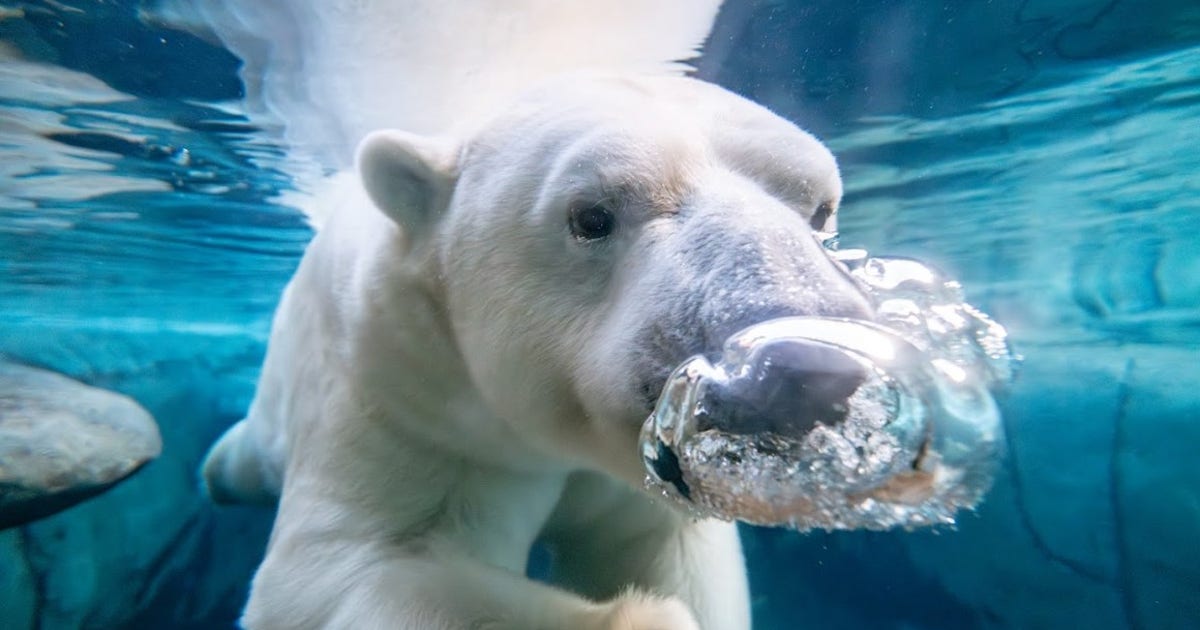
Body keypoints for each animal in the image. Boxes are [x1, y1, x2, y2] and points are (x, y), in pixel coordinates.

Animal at [202, 74, 875, 630]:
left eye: (821, 208)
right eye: (592, 217)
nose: (804, 365)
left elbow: (674, 557)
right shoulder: (407, 398)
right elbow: (354, 567)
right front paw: (641, 617)